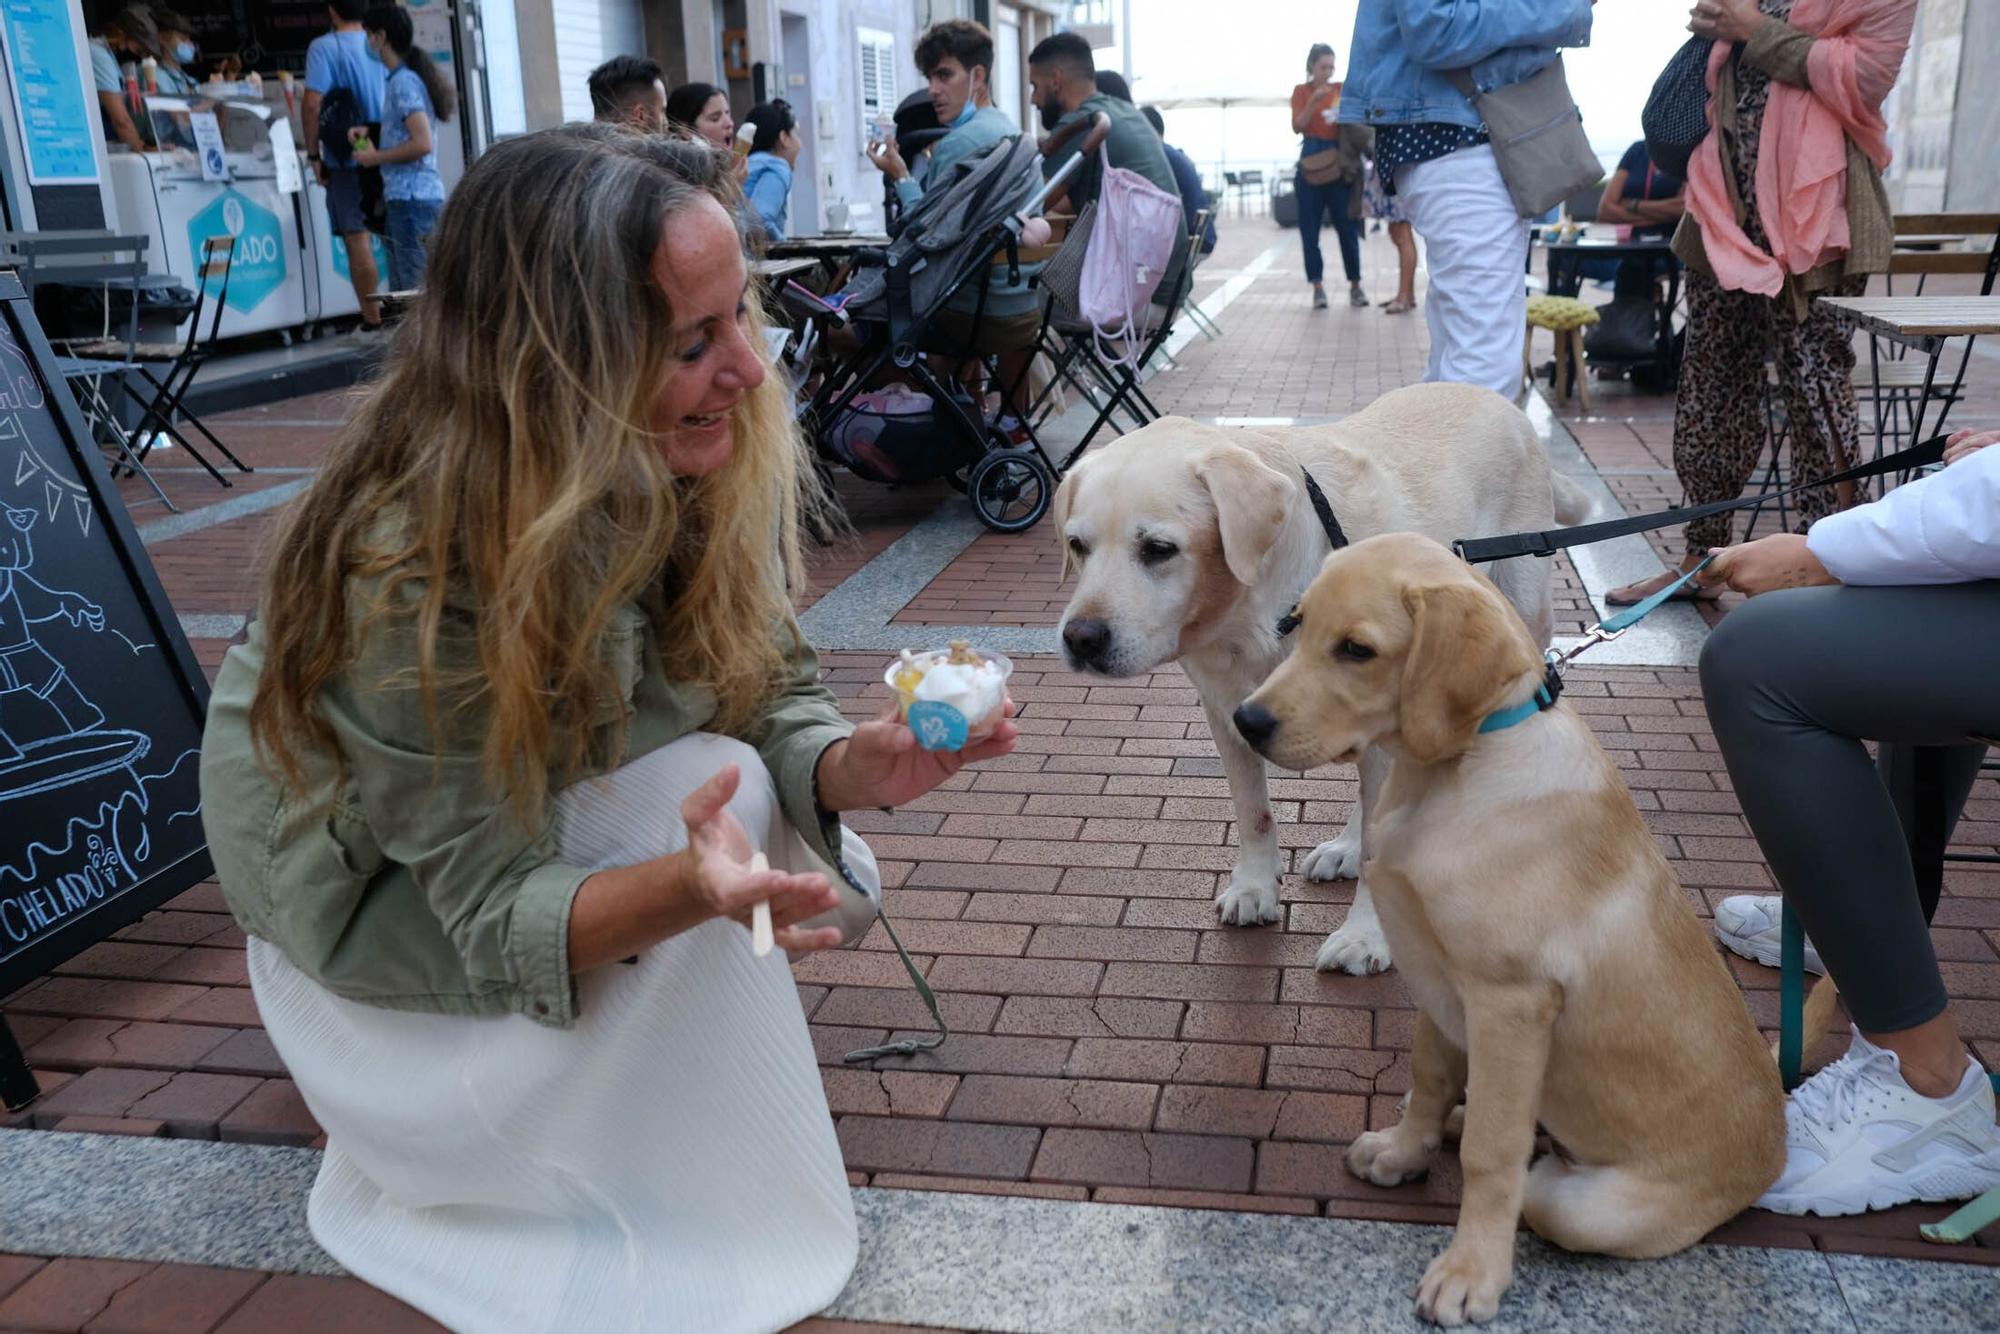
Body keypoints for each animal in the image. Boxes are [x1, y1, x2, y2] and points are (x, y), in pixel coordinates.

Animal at [1056, 380, 1584, 976]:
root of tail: (1496, 399)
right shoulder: (1227, 710)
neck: (1259, 613)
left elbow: (1383, 842)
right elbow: (1253, 811)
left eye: (1158, 549)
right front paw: (1256, 888)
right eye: (1077, 546)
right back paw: (1346, 848)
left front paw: (1367, 935)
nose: (1080, 639)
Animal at [1232, 532, 1784, 1328]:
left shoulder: (1510, 1002)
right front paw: (1405, 1152)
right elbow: (1429, 1078)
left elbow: (1492, 1155)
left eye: (1357, 650)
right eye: (1294, 626)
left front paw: (1471, 1271)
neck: (1451, 771)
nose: (1245, 722)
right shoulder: (1439, 982)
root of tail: (1777, 1153)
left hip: (1594, 1203)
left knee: (1538, 1178)